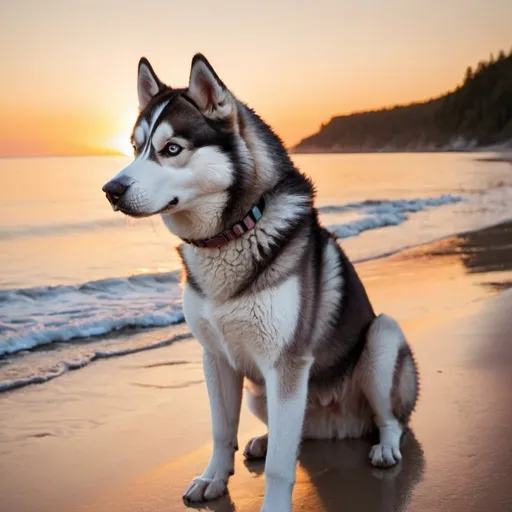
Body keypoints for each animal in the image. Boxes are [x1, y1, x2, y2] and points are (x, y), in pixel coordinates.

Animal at [102, 55, 418, 512]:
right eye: (135, 147)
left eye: (172, 149)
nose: (110, 189)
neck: (230, 236)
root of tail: (336, 426)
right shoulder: (215, 358)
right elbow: (220, 430)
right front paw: (213, 479)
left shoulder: (286, 364)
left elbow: (281, 469)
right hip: (263, 394)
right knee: (297, 434)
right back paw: (268, 440)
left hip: (381, 339)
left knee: (389, 419)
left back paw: (385, 447)